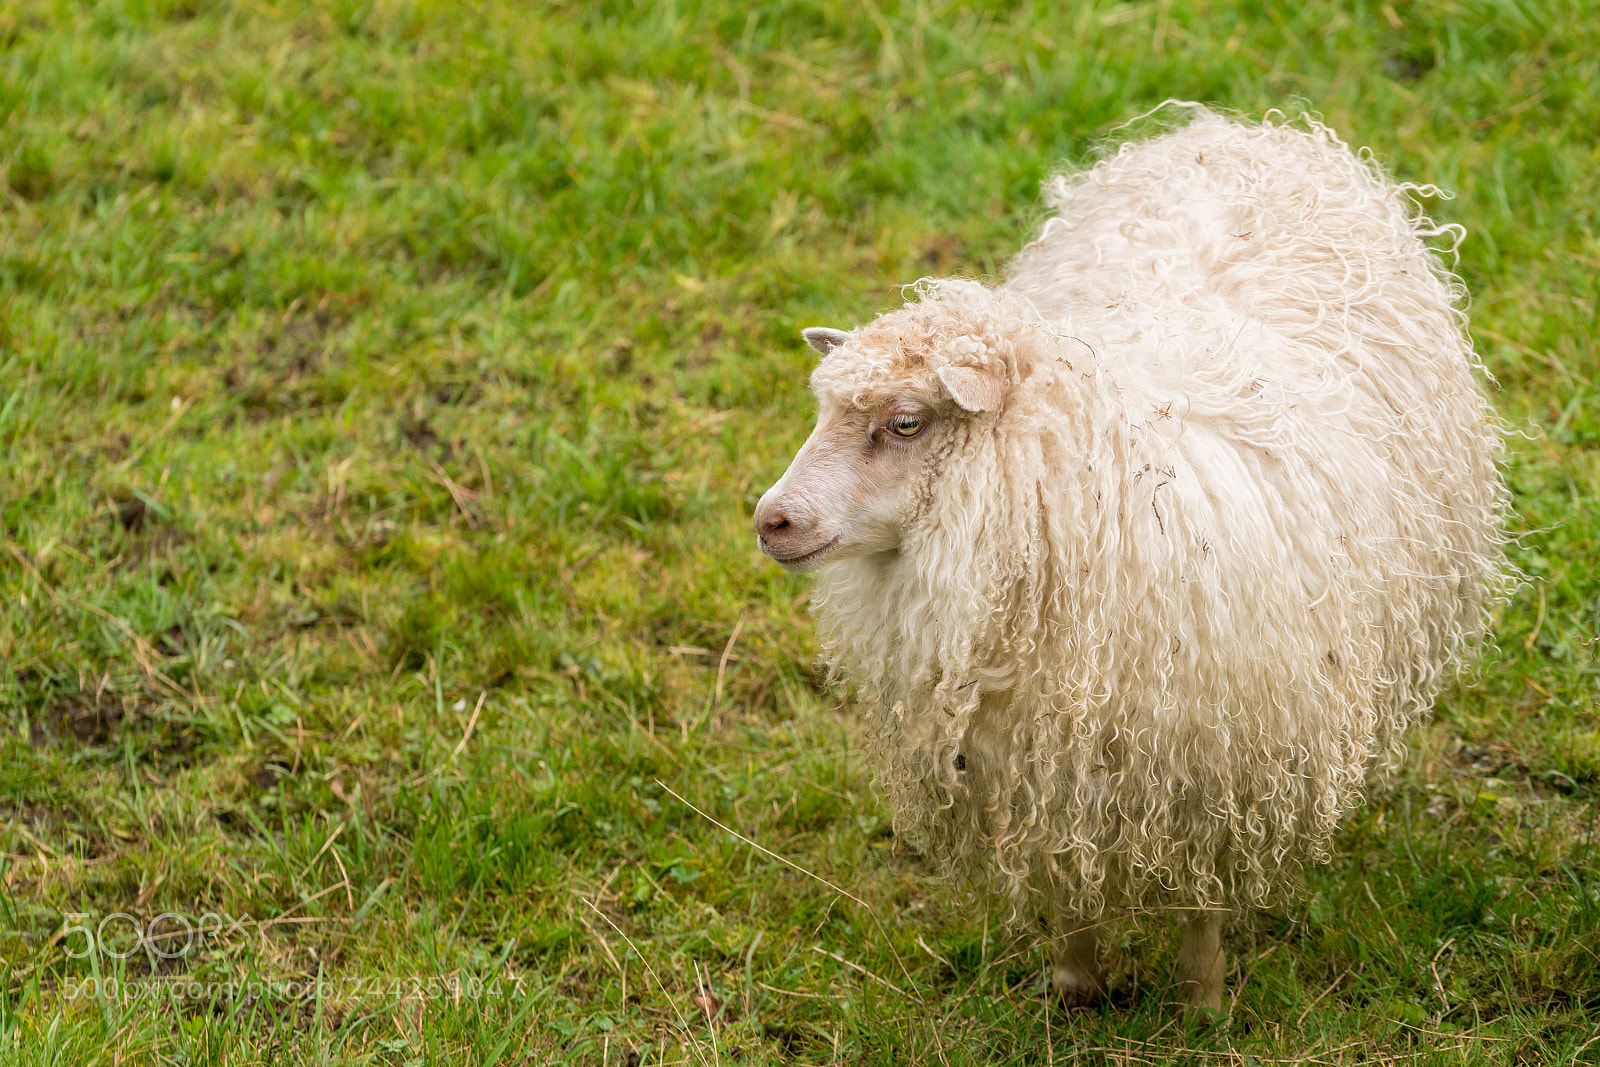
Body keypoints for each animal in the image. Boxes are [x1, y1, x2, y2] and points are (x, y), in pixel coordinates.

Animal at [752, 106, 1508, 1011]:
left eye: (904, 422)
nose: (771, 520)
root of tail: (1253, 130)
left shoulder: (1219, 755)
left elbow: (1203, 896)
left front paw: (1203, 1001)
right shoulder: (1034, 755)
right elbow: (1064, 873)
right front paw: (1075, 980)